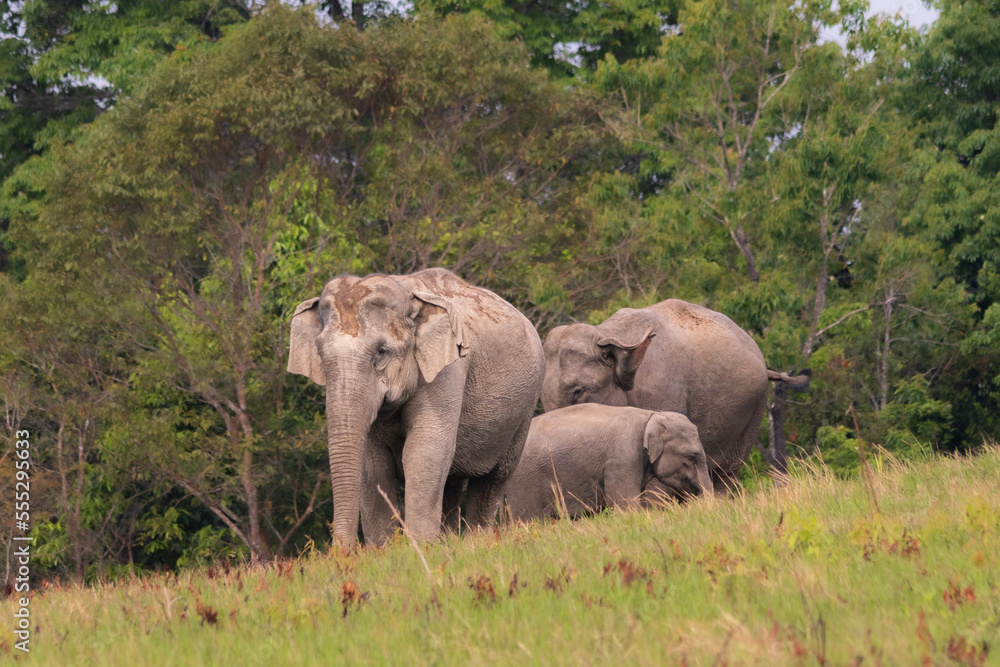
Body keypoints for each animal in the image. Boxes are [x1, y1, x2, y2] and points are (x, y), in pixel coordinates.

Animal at [287, 268, 544, 546]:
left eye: (381, 353)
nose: (343, 552)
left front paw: (420, 547)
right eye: (320, 354)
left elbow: (425, 449)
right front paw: (386, 549)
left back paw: (478, 540)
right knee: (451, 480)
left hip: (525, 407)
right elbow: (373, 463)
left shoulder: (449, 368)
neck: (408, 293)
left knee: (494, 478)